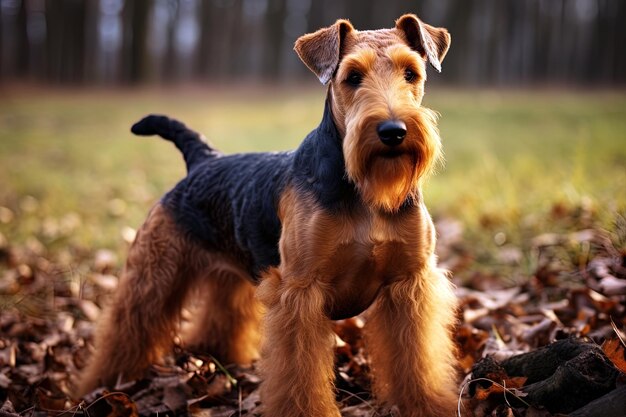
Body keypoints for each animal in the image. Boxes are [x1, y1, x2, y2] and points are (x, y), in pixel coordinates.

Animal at [79, 13, 458, 416]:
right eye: (353, 76)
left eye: (411, 73)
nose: (393, 131)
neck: (364, 193)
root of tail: (203, 159)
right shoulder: (301, 291)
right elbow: (300, 374)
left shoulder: (408, 284)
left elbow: (416, 362)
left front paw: (429, 404)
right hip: (154, 272)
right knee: (126, 328)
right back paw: (97, 386)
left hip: (232, 275)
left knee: (220, 319)